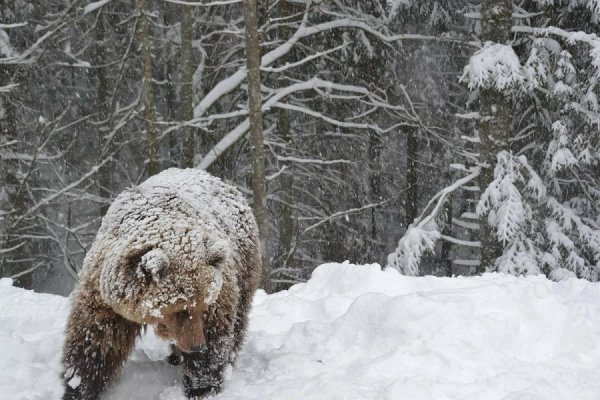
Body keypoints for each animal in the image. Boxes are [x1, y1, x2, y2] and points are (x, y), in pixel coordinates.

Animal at [60, 169, 262, 400]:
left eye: (203, 307)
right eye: (180, 310)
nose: (197, 347)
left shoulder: (219, 292)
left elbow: (217, 334)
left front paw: (202, 386)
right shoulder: (103, 292)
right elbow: (96, 340)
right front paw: (78, 387)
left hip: (245, 264)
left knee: (239, 318)